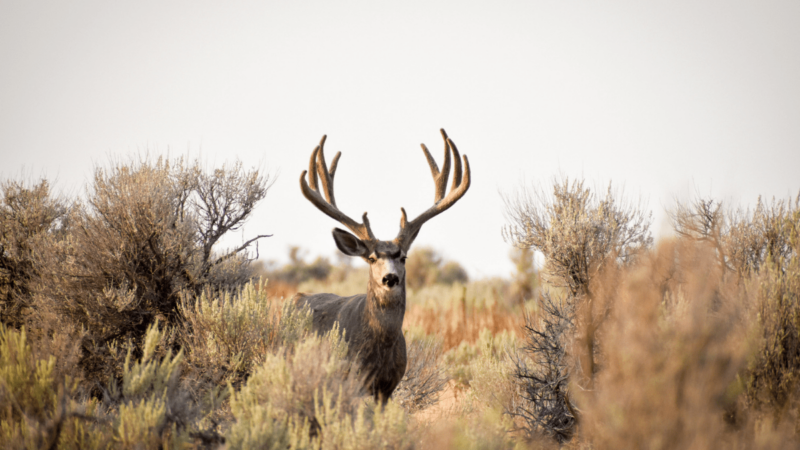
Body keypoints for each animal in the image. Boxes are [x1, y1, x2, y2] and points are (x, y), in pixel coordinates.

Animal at [294, 128, 468, 402]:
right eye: (372, 258)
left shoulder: (388, 387)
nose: (390, 278)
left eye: (403, 256)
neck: (380, 348)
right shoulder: (352, 378)